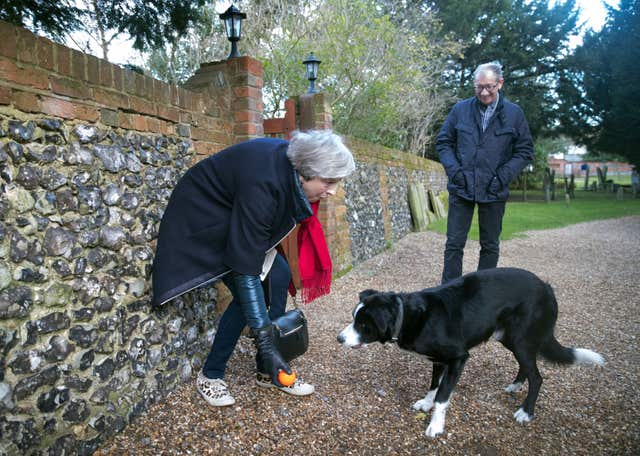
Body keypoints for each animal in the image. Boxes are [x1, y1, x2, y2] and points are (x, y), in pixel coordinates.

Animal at [338, 268, 604, 438]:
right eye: (353, 318)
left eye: (363, 324)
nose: (339, 338)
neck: (410, 315)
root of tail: (547, 288)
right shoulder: (438, 360)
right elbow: (433, 386)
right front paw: (426, 403)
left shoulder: (458, 358)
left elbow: (443, 395)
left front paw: (436, 426)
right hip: (510, 339)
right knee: (527, 367)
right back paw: (515, 385)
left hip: (521, 339)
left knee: (537, 377)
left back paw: (526, 412)